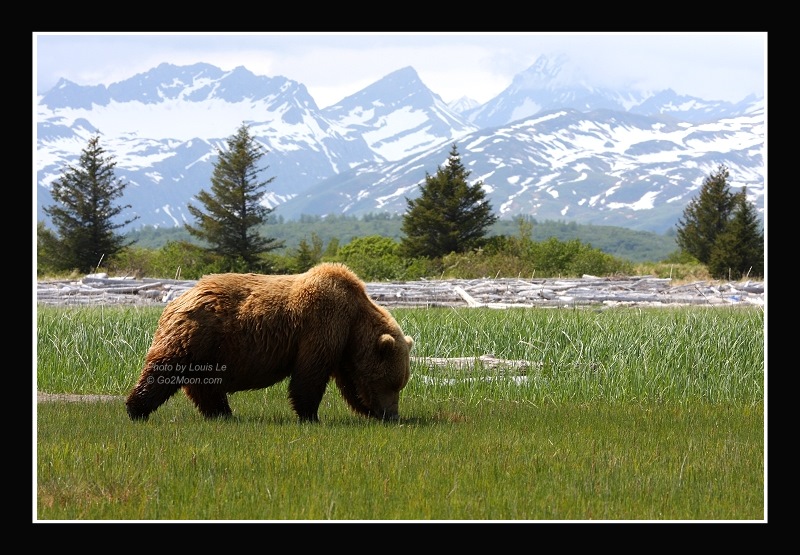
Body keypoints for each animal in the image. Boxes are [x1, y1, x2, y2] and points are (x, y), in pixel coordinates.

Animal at [126, 262, 412, 424]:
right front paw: (311, 416)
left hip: (209, 351)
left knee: (204, 383)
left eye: (400, 384)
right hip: (197, 333)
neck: (355, 318)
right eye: (392, 383)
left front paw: (365, 410)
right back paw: (136, 409)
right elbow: (310, 374)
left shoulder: (343, 346)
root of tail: (176, 300)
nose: (392, 415)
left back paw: (222, 414)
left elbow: (350, 384)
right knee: (166, 369)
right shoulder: (322, 324)